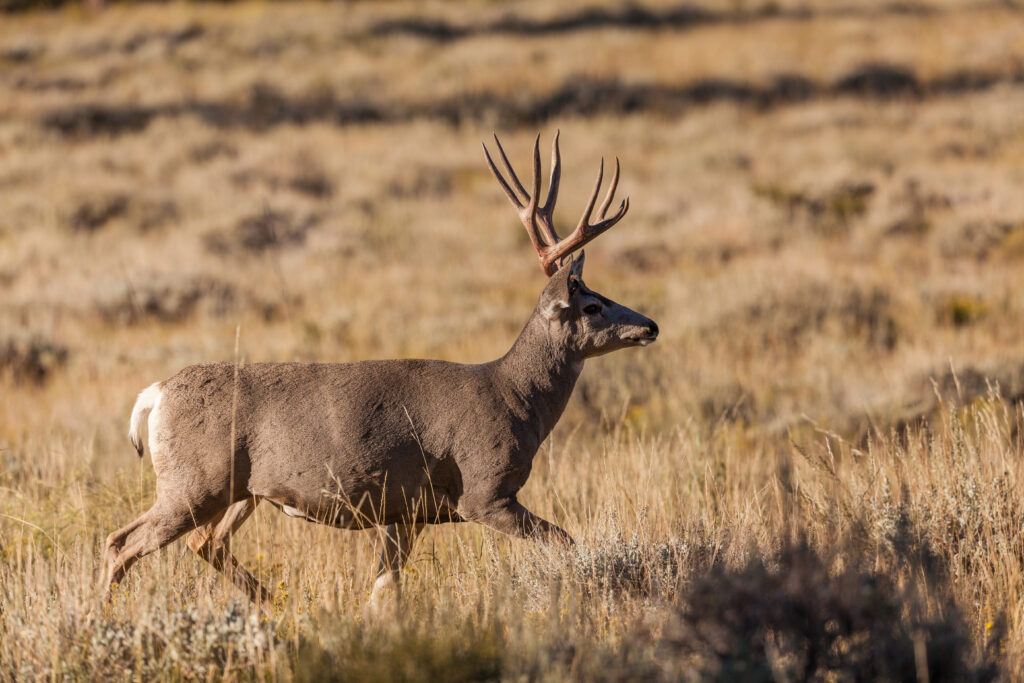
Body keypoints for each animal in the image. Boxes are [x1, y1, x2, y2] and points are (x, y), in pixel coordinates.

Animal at [101, 133, 655, 610]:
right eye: (591, 305)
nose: (650, 326)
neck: (513, 396)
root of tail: (156, 393)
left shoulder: (406, 512)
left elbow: (382, 590)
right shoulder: (484, 493)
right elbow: (565, 542)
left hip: (241, 491)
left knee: (203, 543)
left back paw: (276, 606)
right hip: (193, 483)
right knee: (121, 541)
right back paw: (101, 618)